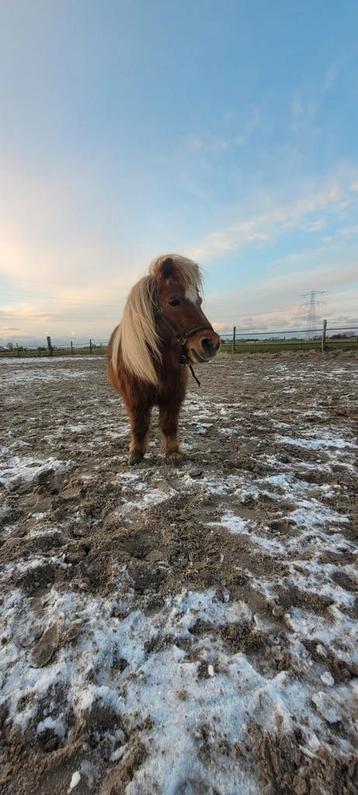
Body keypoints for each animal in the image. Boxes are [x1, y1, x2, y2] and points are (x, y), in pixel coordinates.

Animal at [107, 255, 220, 466]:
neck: (156, 362)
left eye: (199, 301)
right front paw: (136, 453)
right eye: (173, 301)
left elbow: (169, 424)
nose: (211, 343)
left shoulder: (173, 395)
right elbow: (139, 425)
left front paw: (173, 453)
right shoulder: (135, 399)